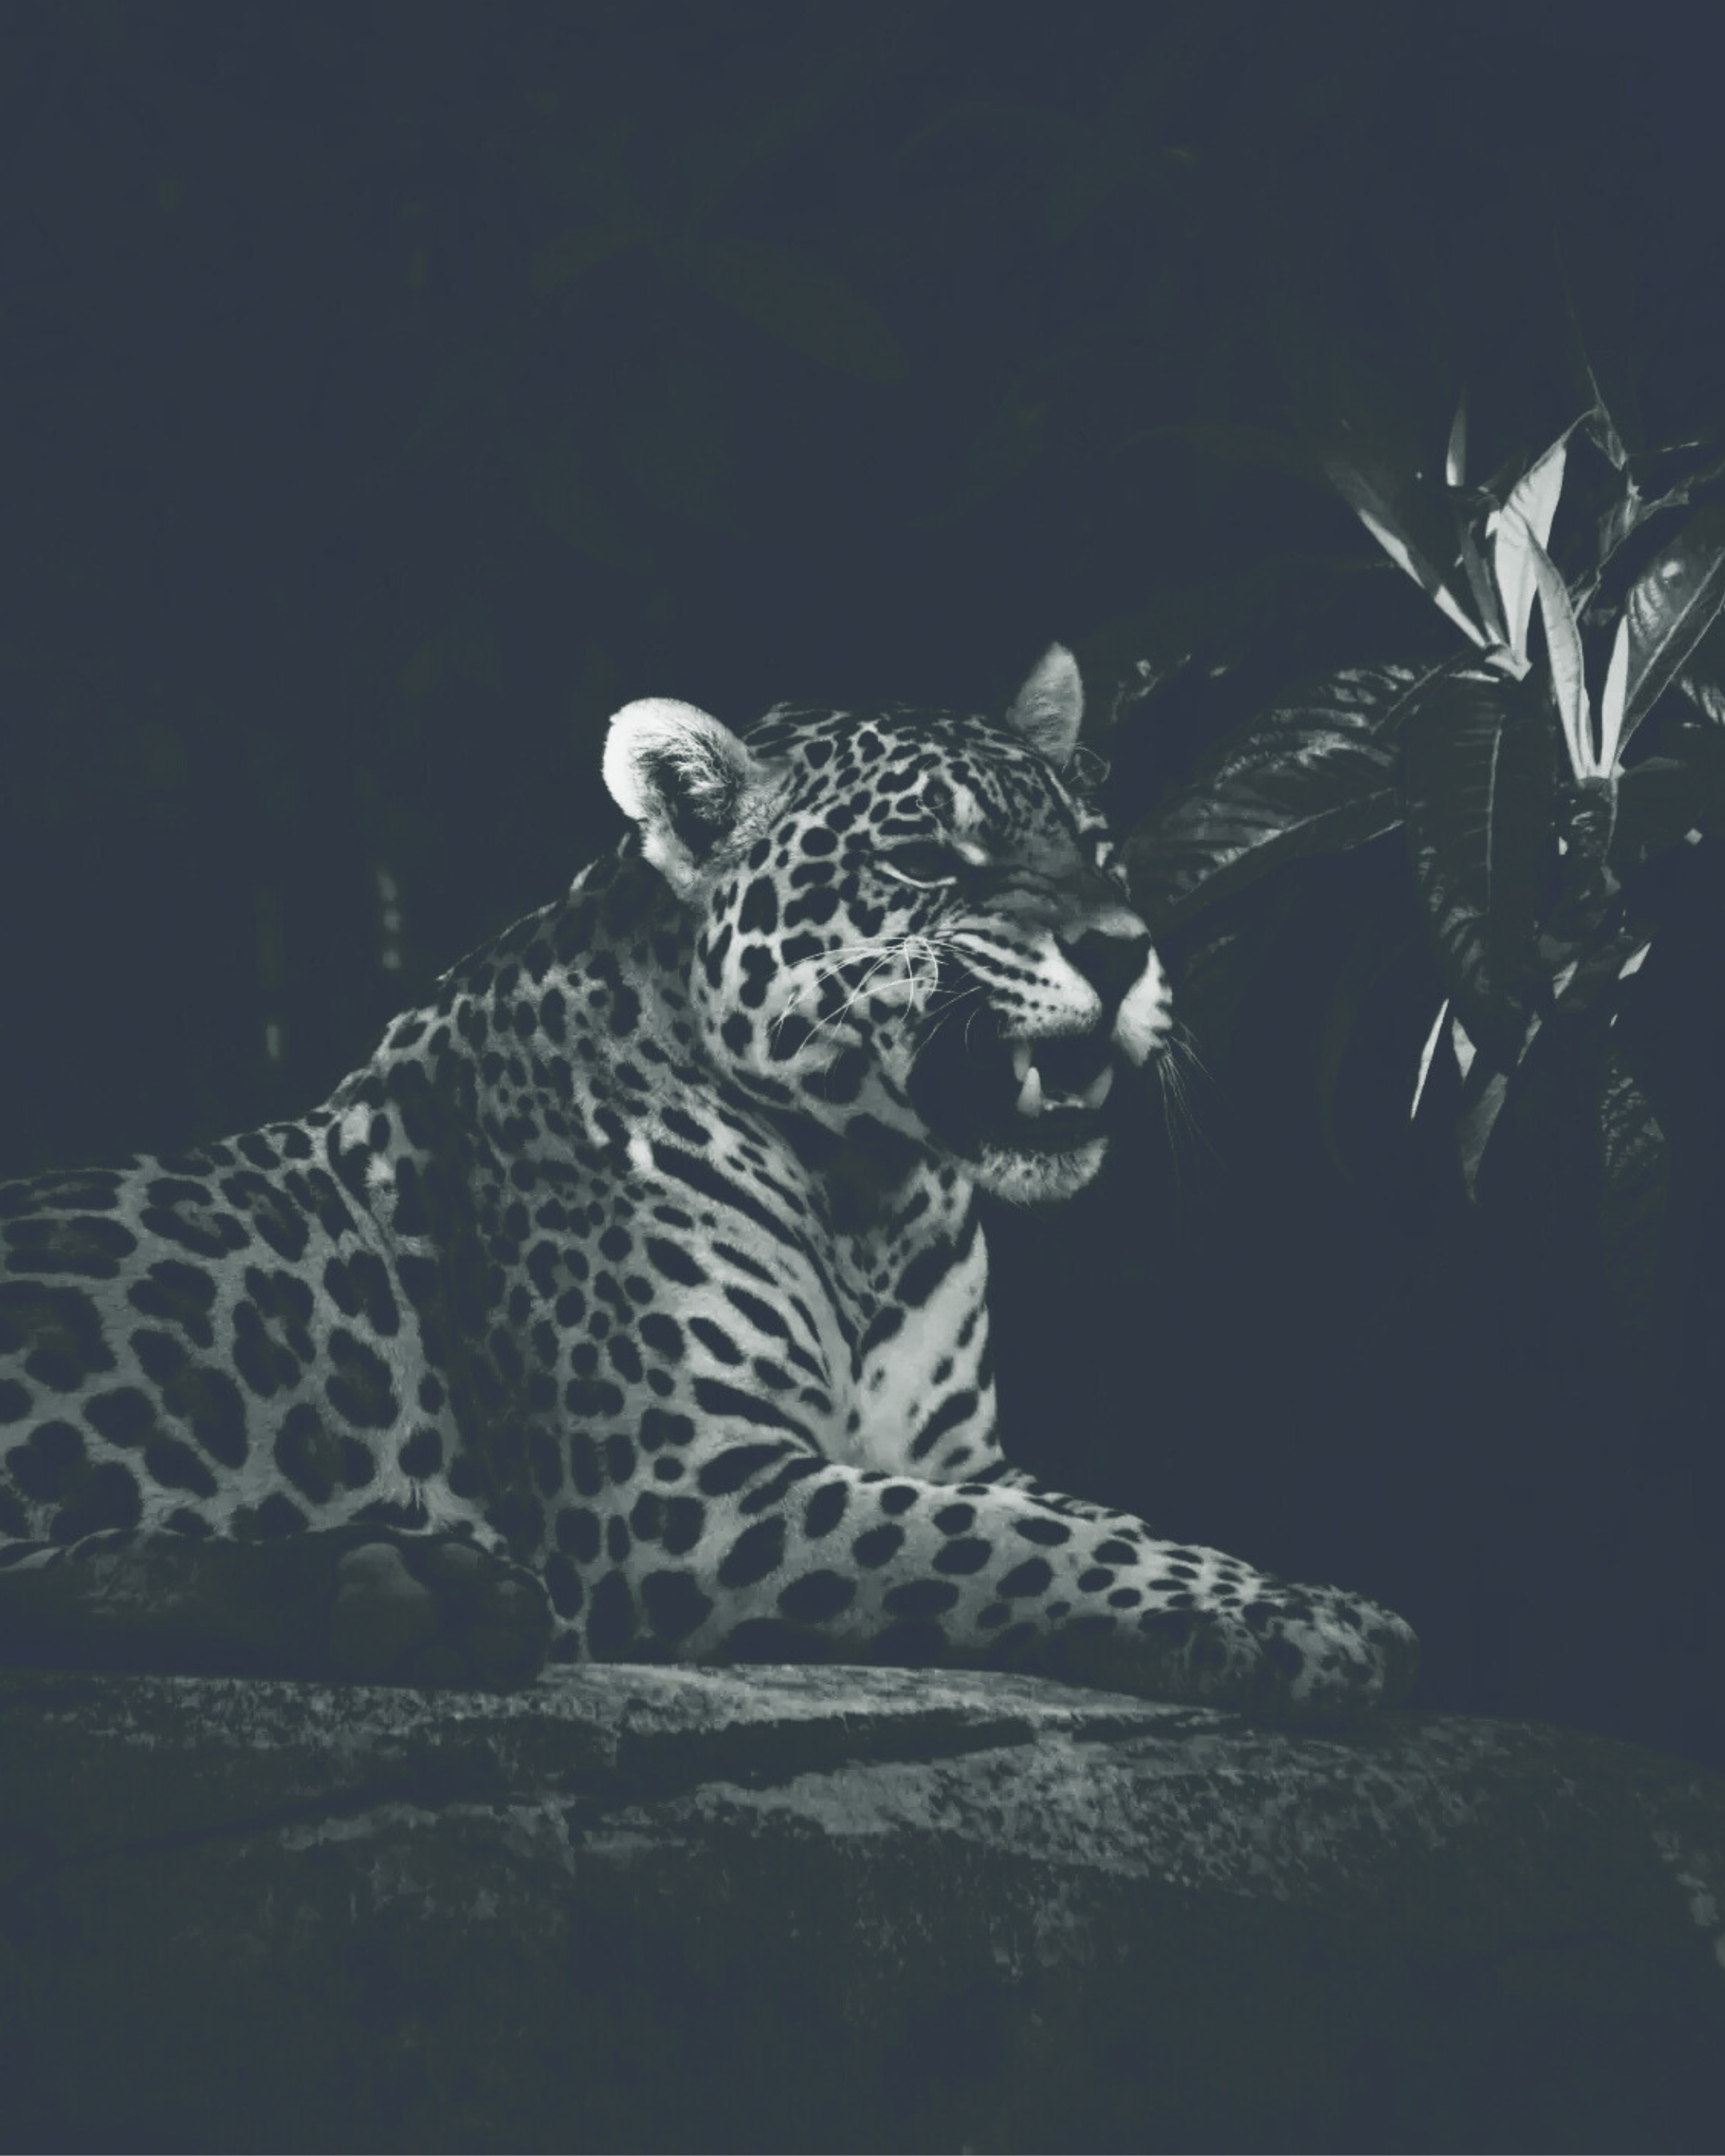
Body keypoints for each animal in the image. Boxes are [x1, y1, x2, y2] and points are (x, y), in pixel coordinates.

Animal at [0, 644, 1416, 1722]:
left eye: (1104, 857)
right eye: (925, 861)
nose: (1125, 953)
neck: (874, 1197)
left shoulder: (964, 1456)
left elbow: (1112, 1520)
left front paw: (1299, 1597)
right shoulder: (686, 1493)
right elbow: (1031, 1544)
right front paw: (1315, 1627)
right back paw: (408, 1598)